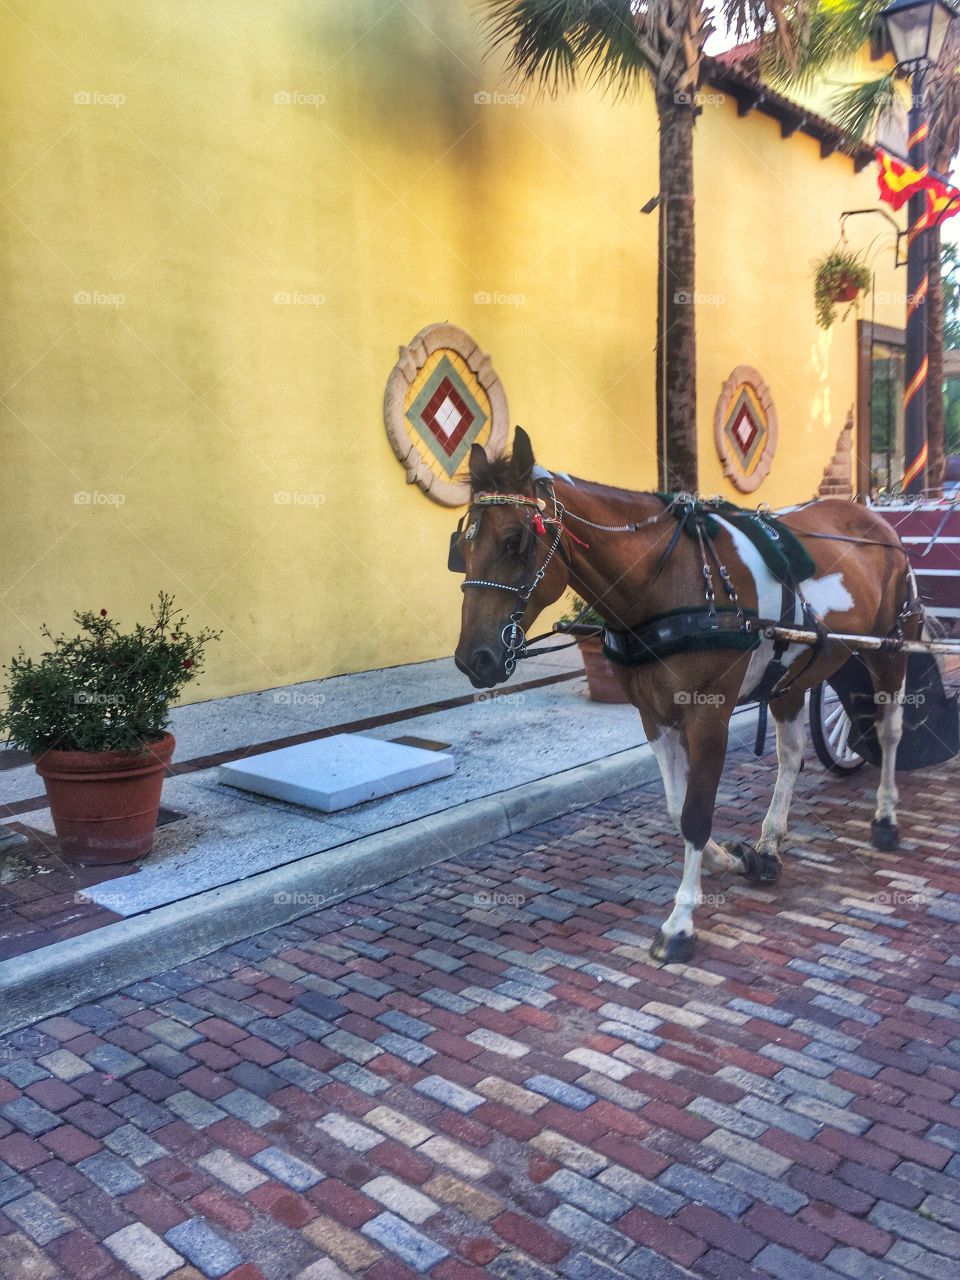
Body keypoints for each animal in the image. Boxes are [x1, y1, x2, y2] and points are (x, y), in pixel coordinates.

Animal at [455, 427, 921, 962]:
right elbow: (678, 811)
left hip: (891, 649)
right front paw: (736, 860)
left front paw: (680, 923)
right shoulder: (654, 717)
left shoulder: (708, 718)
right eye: (461, 545)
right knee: (791, 754)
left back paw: (885, 817)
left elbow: (696, 815)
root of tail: (871, 515)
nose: (473, 659)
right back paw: (769, 843)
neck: (666, 581)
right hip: (791, 675)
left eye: (515, 540)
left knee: (888, 732)